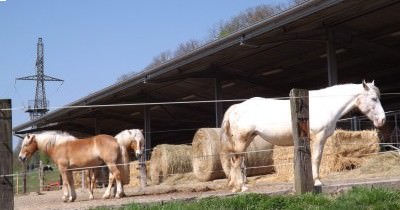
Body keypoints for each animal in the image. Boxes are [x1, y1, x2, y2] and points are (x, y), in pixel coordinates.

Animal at [220, 81, 386, 193]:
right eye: (373, 98)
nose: (382, 120)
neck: (325, 104)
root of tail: (236, 107)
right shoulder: (318, 138)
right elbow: (317, 159)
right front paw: (317, 182)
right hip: (242, 140)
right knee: (236, 162)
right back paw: (241, 187)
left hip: (247, 139)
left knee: (238, 161)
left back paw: (237, 186)